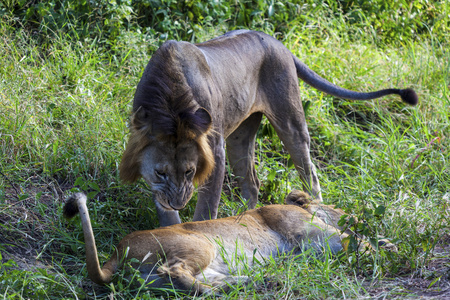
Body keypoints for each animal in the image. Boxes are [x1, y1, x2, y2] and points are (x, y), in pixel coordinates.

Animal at [64, 191, 394, 294]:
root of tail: (119, 249)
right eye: (337, 207)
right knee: (175, 272)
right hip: (200, 246)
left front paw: (385, 243)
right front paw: (385, 250)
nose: (351, 213)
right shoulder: (311, 233)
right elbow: (353, 239)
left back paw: (263, 280)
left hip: (178, 274)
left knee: (189, 281)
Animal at [119, 29, 418, 225]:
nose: (179, 203)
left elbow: (206, 206)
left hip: (290, 120)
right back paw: (244, 220)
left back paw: (314, 208)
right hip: (240, 135)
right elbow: (164, 209)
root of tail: (275, 40)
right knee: (252, 183)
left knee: (310, 174)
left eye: (190, 171)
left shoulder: (215, 150)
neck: (169, 102)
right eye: (160, 172)